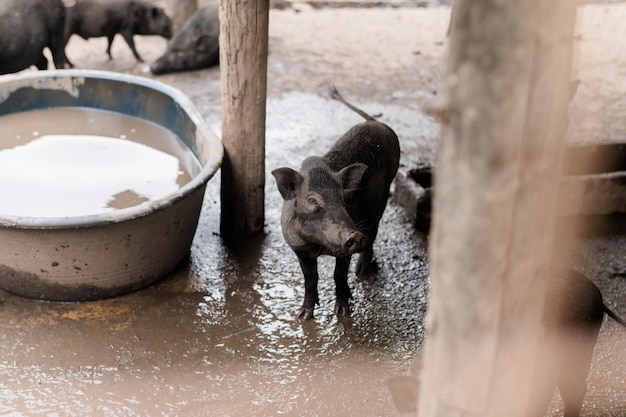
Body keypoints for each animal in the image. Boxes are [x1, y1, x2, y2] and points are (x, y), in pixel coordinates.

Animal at [270, 86, 398, 316]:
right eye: (312, 200)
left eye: (343, 198)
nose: (354, 234)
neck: (317, 246)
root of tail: (377, 122)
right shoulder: (298, 249)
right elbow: (310, 279)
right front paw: (304, 315)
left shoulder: (344, 252)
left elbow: (338, 275)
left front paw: (343, 312)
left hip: (383, 198)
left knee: (373, 234)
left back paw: (361, 272)